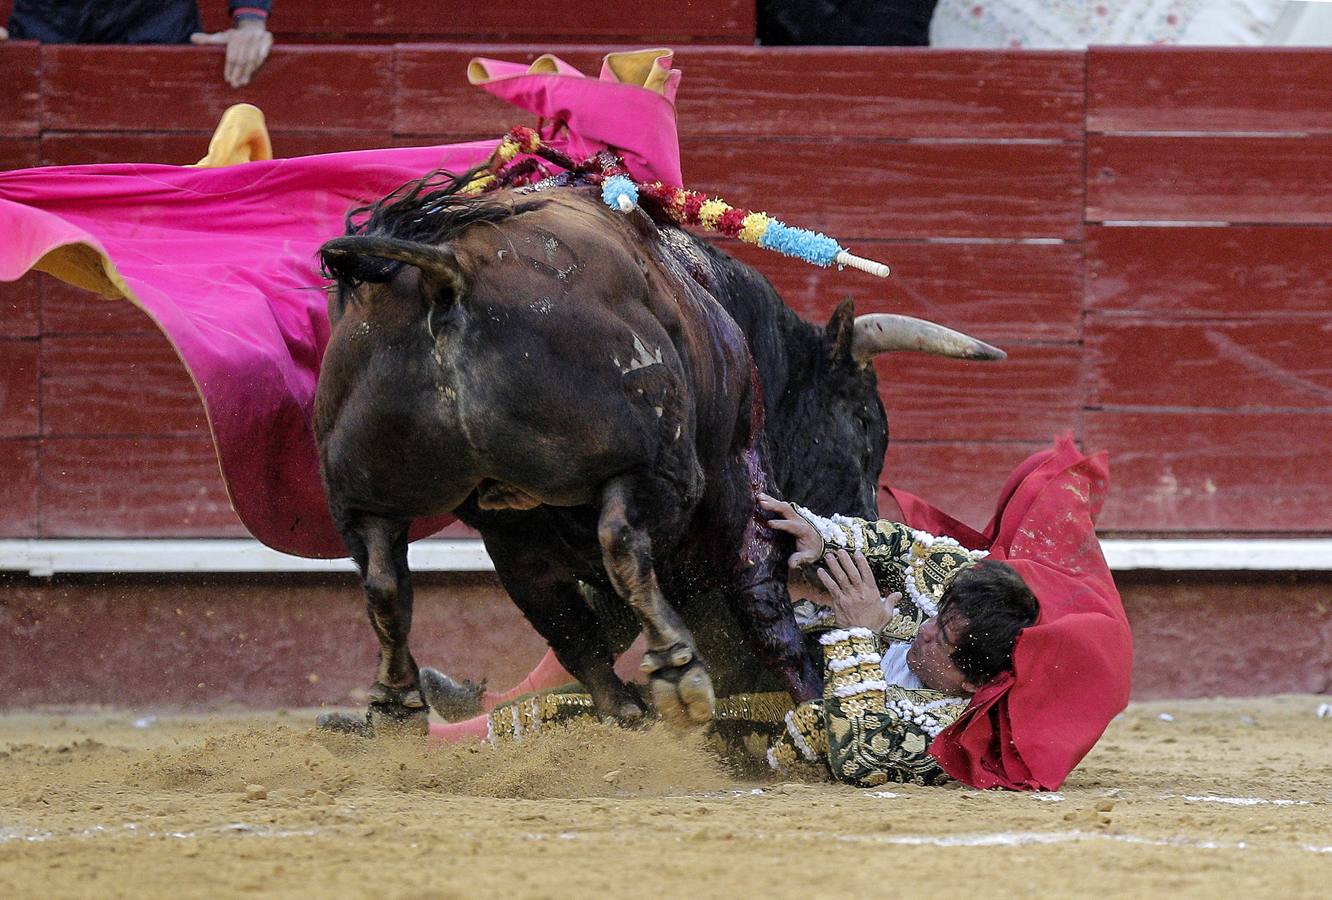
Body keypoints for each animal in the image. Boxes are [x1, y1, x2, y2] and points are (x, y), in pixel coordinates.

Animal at [314, 171, 1001, 734]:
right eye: (864, 422)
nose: (865, 515)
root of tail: (449, 267)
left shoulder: (534, 536)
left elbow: (584, 621)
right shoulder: (739, 484)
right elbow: (761, 606)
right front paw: (812, 700)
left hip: (392, 500)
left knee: (391, 579)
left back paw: (406, 702)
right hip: (650, 463)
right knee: (620, 544)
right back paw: (675, 672)